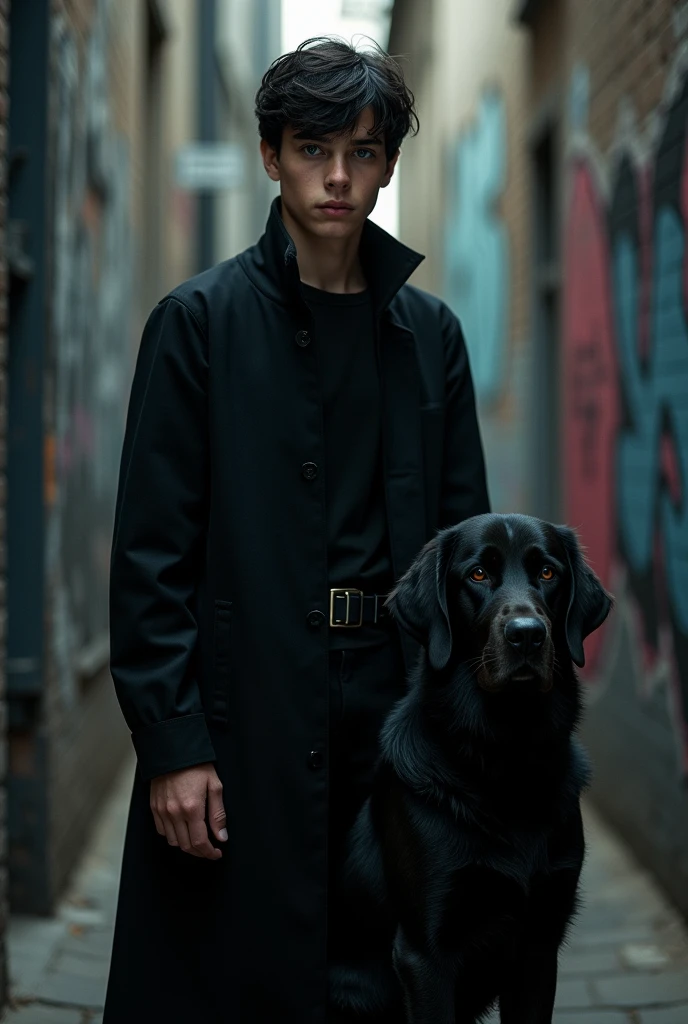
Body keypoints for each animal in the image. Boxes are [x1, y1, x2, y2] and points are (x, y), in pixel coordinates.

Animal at [327, 516, 614, 1019]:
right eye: (478, 574)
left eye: (548, 572)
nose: (526, 634)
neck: (508, 756)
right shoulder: (425, 952)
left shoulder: (540, 944)